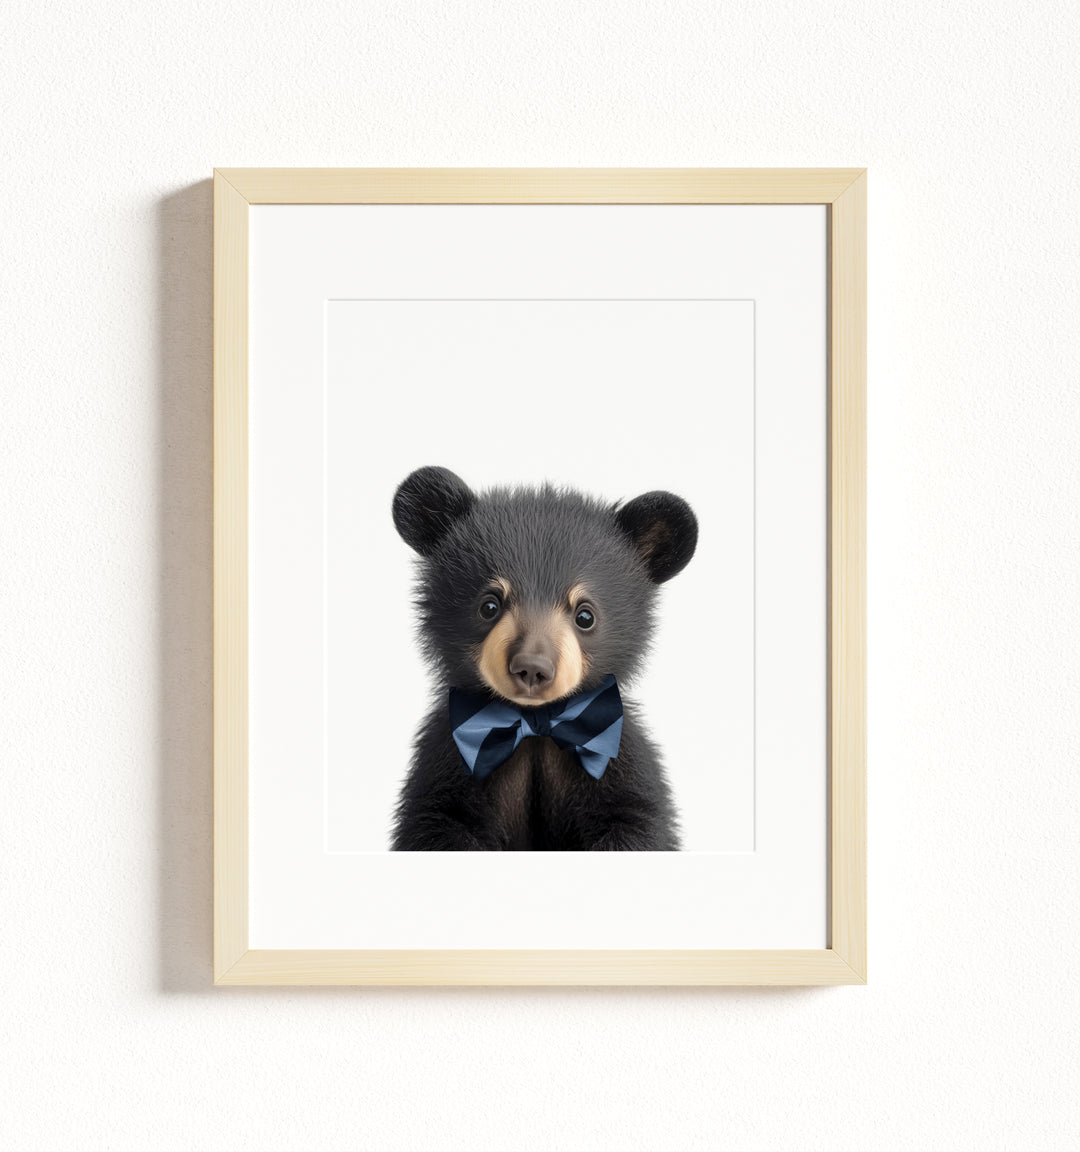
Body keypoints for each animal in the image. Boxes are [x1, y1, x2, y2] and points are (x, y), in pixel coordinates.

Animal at [389, 465, 698, 851]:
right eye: (489, 606)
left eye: (585, 615)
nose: (532, 668)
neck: (536, 729)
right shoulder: (446, 760)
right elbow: (436, 820)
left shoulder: (619, 757)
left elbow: (636, 816)